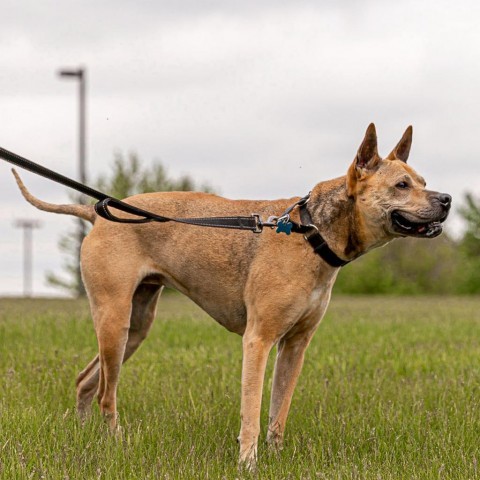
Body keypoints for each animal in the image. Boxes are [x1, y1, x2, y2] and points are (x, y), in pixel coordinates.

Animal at [13, 124, 452, 468]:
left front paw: (275, 455)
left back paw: (87, 437)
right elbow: (252, 411)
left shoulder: (295, 346)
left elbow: (278, 410)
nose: (446, 200)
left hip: (135, 326)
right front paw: (248, 462)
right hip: (114, 320)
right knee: (106, 393)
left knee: (86, 381)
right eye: (401, 185)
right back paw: (116, 444)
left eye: (424, 182)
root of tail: (97, 213)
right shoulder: (258, 340)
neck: (311, 233)